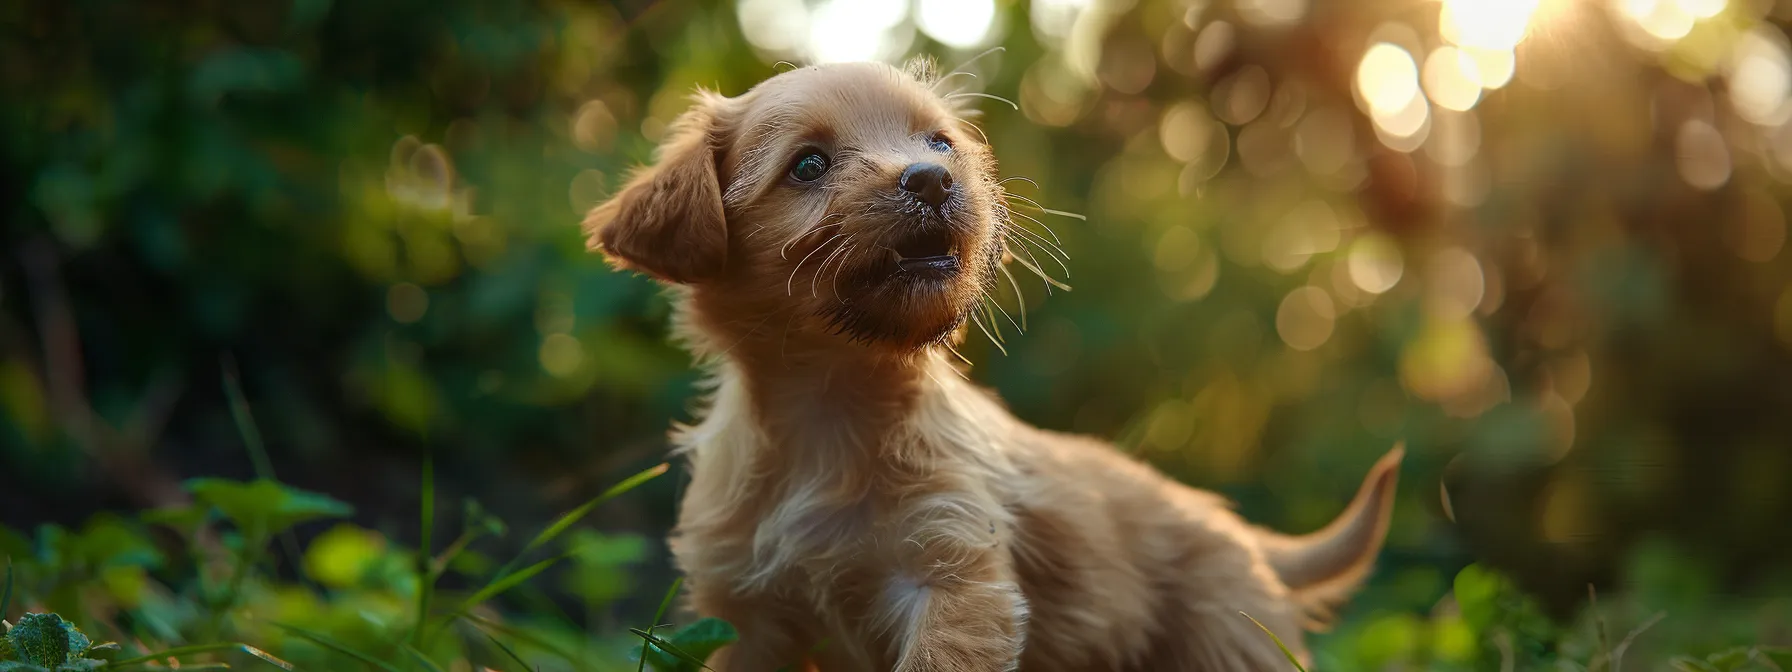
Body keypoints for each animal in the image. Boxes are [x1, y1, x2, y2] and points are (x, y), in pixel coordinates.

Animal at [580, 59, 1404, 672]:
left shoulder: (954, 579)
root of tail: (1242, 536)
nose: (931, 179)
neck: (830, 409)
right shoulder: (745, 618)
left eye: (939, 143)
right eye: (807, 165)